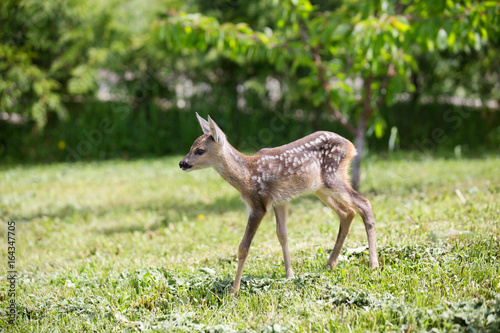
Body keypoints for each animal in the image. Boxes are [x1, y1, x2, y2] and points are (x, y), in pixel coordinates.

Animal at [180, 113, 378, 296]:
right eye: (190, 147)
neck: (246, 175)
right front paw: (290, 275)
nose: (182, 163)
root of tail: (351, 146)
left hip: (332, 177)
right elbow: (282, 235)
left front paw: (233, 291)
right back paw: (330, 264)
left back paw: (373, 265)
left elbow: (244, 247)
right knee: (347, 212)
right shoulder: (280, 200)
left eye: (199, 150)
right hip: (320, 187)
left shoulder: (258, 204)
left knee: (364, 203)